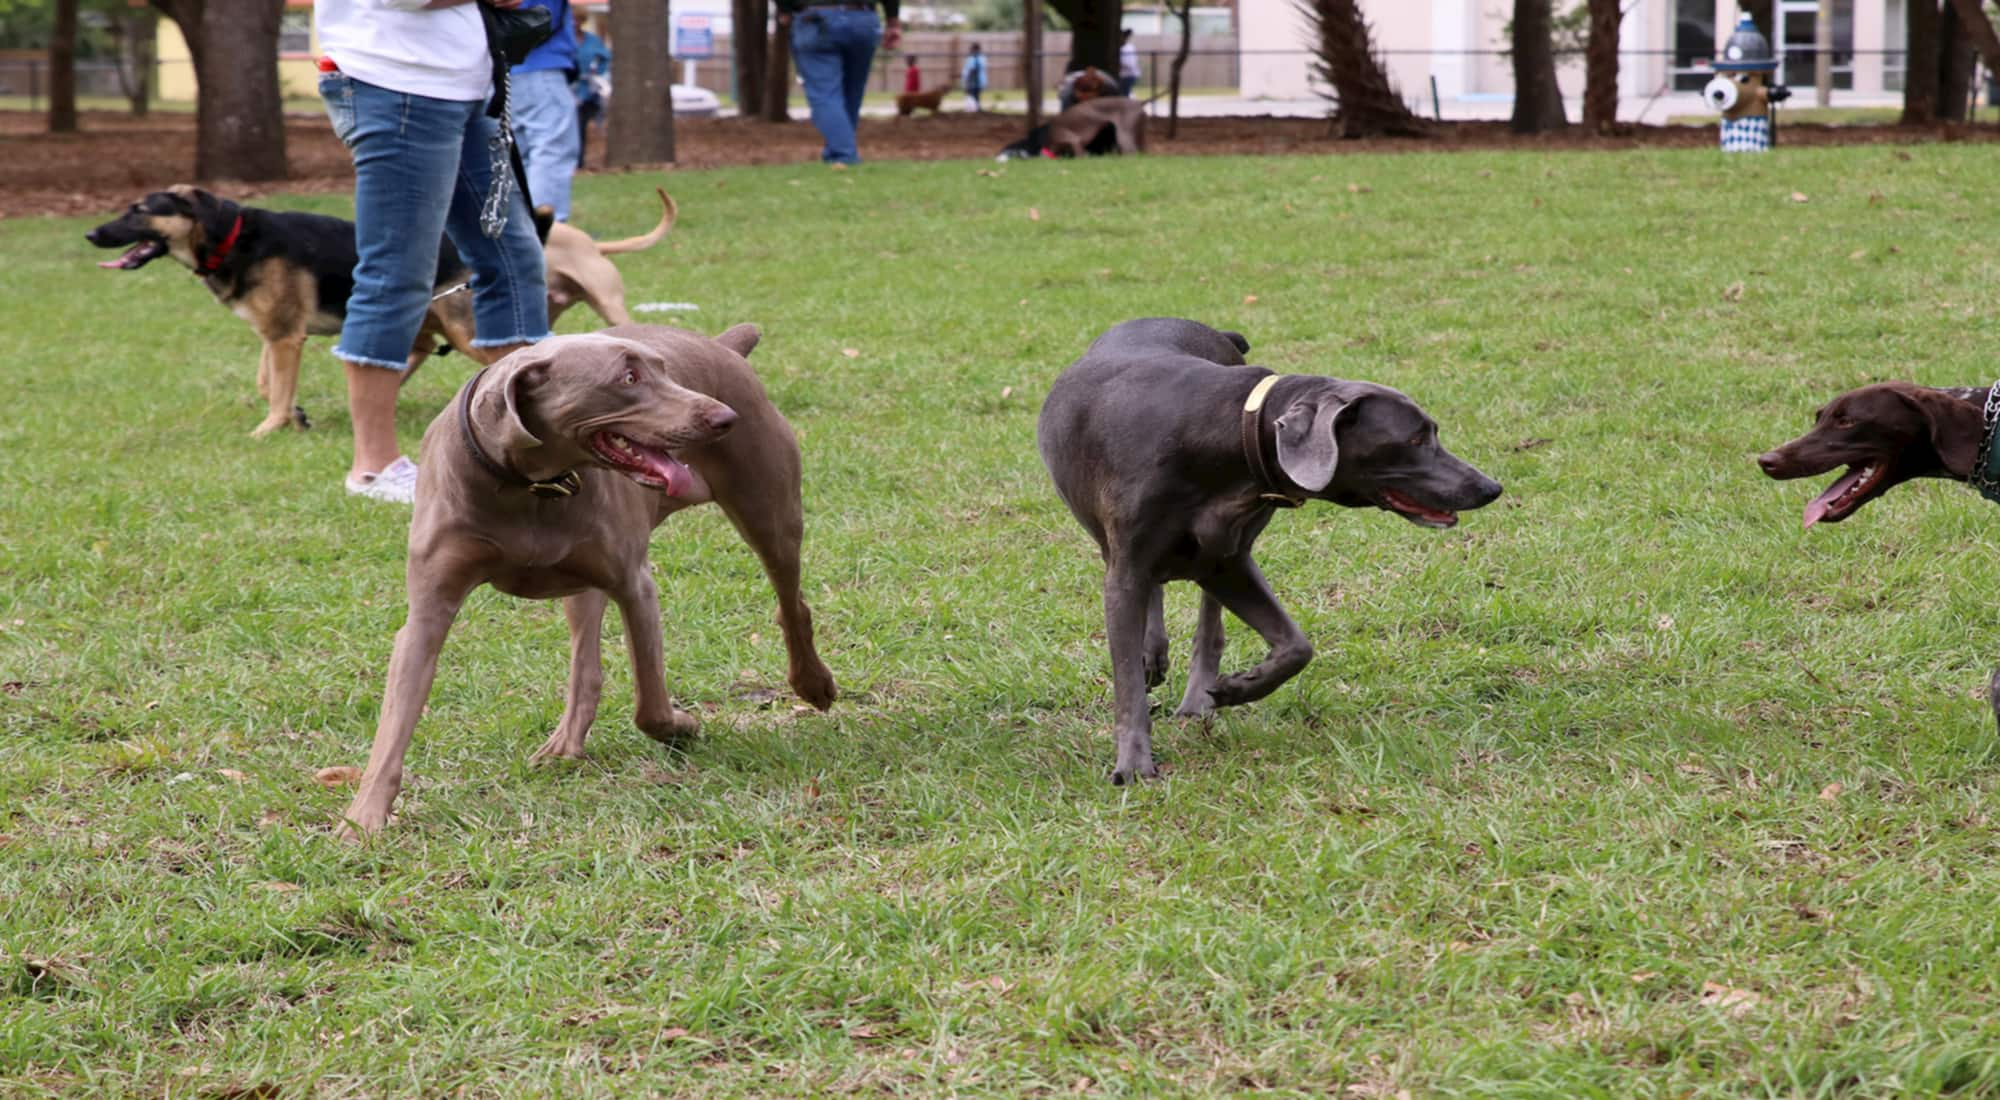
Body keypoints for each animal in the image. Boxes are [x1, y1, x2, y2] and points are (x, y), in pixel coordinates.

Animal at [342, 324, 836, 840]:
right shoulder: (427, 614)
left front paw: (681, 725)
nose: (724, 417)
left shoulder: (635, 585)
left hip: (769, 510)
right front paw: (362, 819)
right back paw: (565, 745)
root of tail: (726, 348)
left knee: (791, 599)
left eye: (663, 369)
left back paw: (813, 684)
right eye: (629, 377)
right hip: (582, 582)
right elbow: (394, 726)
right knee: (586, 664)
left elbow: (650, 707)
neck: (530, 485)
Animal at [1040, 320, 1496, 784]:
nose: (1490, 487)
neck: (1219, 432)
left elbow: (1297, 646)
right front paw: (1133, 764)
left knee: (1208, 624)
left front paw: (1236, 687)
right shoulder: (1127, 569)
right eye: (1416, 438)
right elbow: (1127, 675)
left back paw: (1196, 698)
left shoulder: (1226, 563)